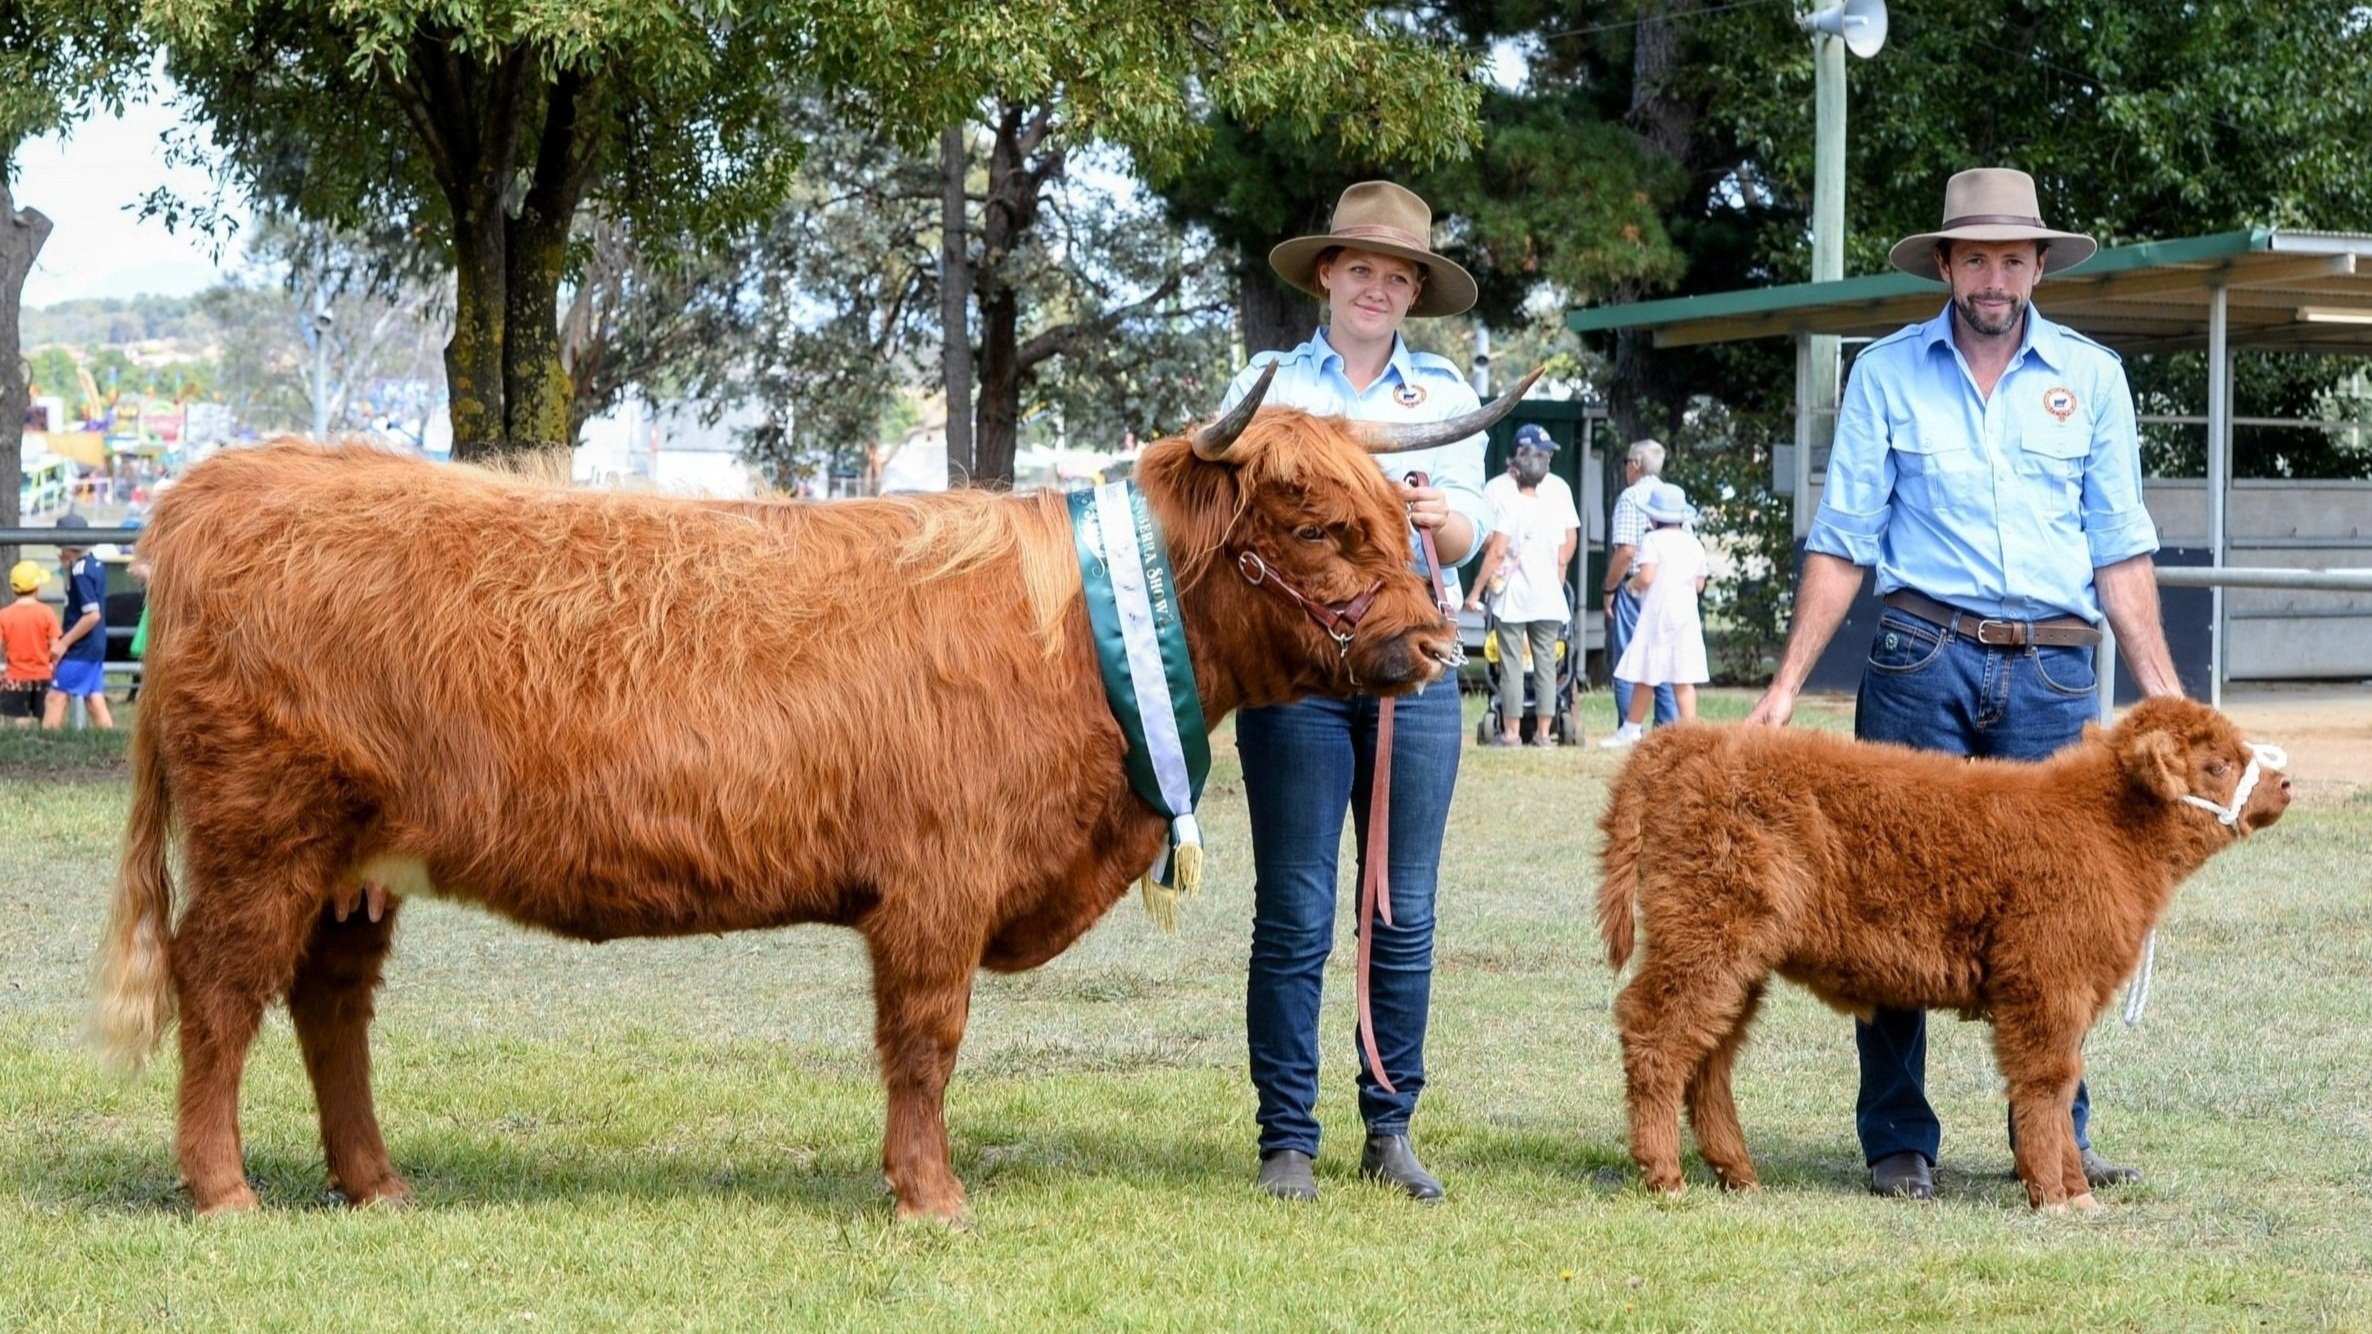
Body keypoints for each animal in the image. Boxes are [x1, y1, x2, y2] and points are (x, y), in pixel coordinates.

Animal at [92, 367, 1527, 1224]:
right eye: (1315, 524)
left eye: (1400, 515)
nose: (1433, 647)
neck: (1075, 630)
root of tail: (227, 479)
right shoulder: (938, 883)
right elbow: (926, 1039)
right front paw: (930, 1195)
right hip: (264, 838)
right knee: (220, 990)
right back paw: (223, 1190)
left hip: (355, 867)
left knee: (329, 1005)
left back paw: (376, 1182)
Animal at [1603, 702, 2286, 1210]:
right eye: (2217, 763)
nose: (2283, 783)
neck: (2105, 831)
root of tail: (1692, 740)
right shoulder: (2045, 984)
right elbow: (2047, 1084)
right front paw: (2060, 1196)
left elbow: (2059, 1086)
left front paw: (2074, 1188)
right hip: (1704, 936)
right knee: (1656, 1034)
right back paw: (1665, 1176)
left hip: (1736, 961)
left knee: (1710, 1055)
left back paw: (1739, 1175)